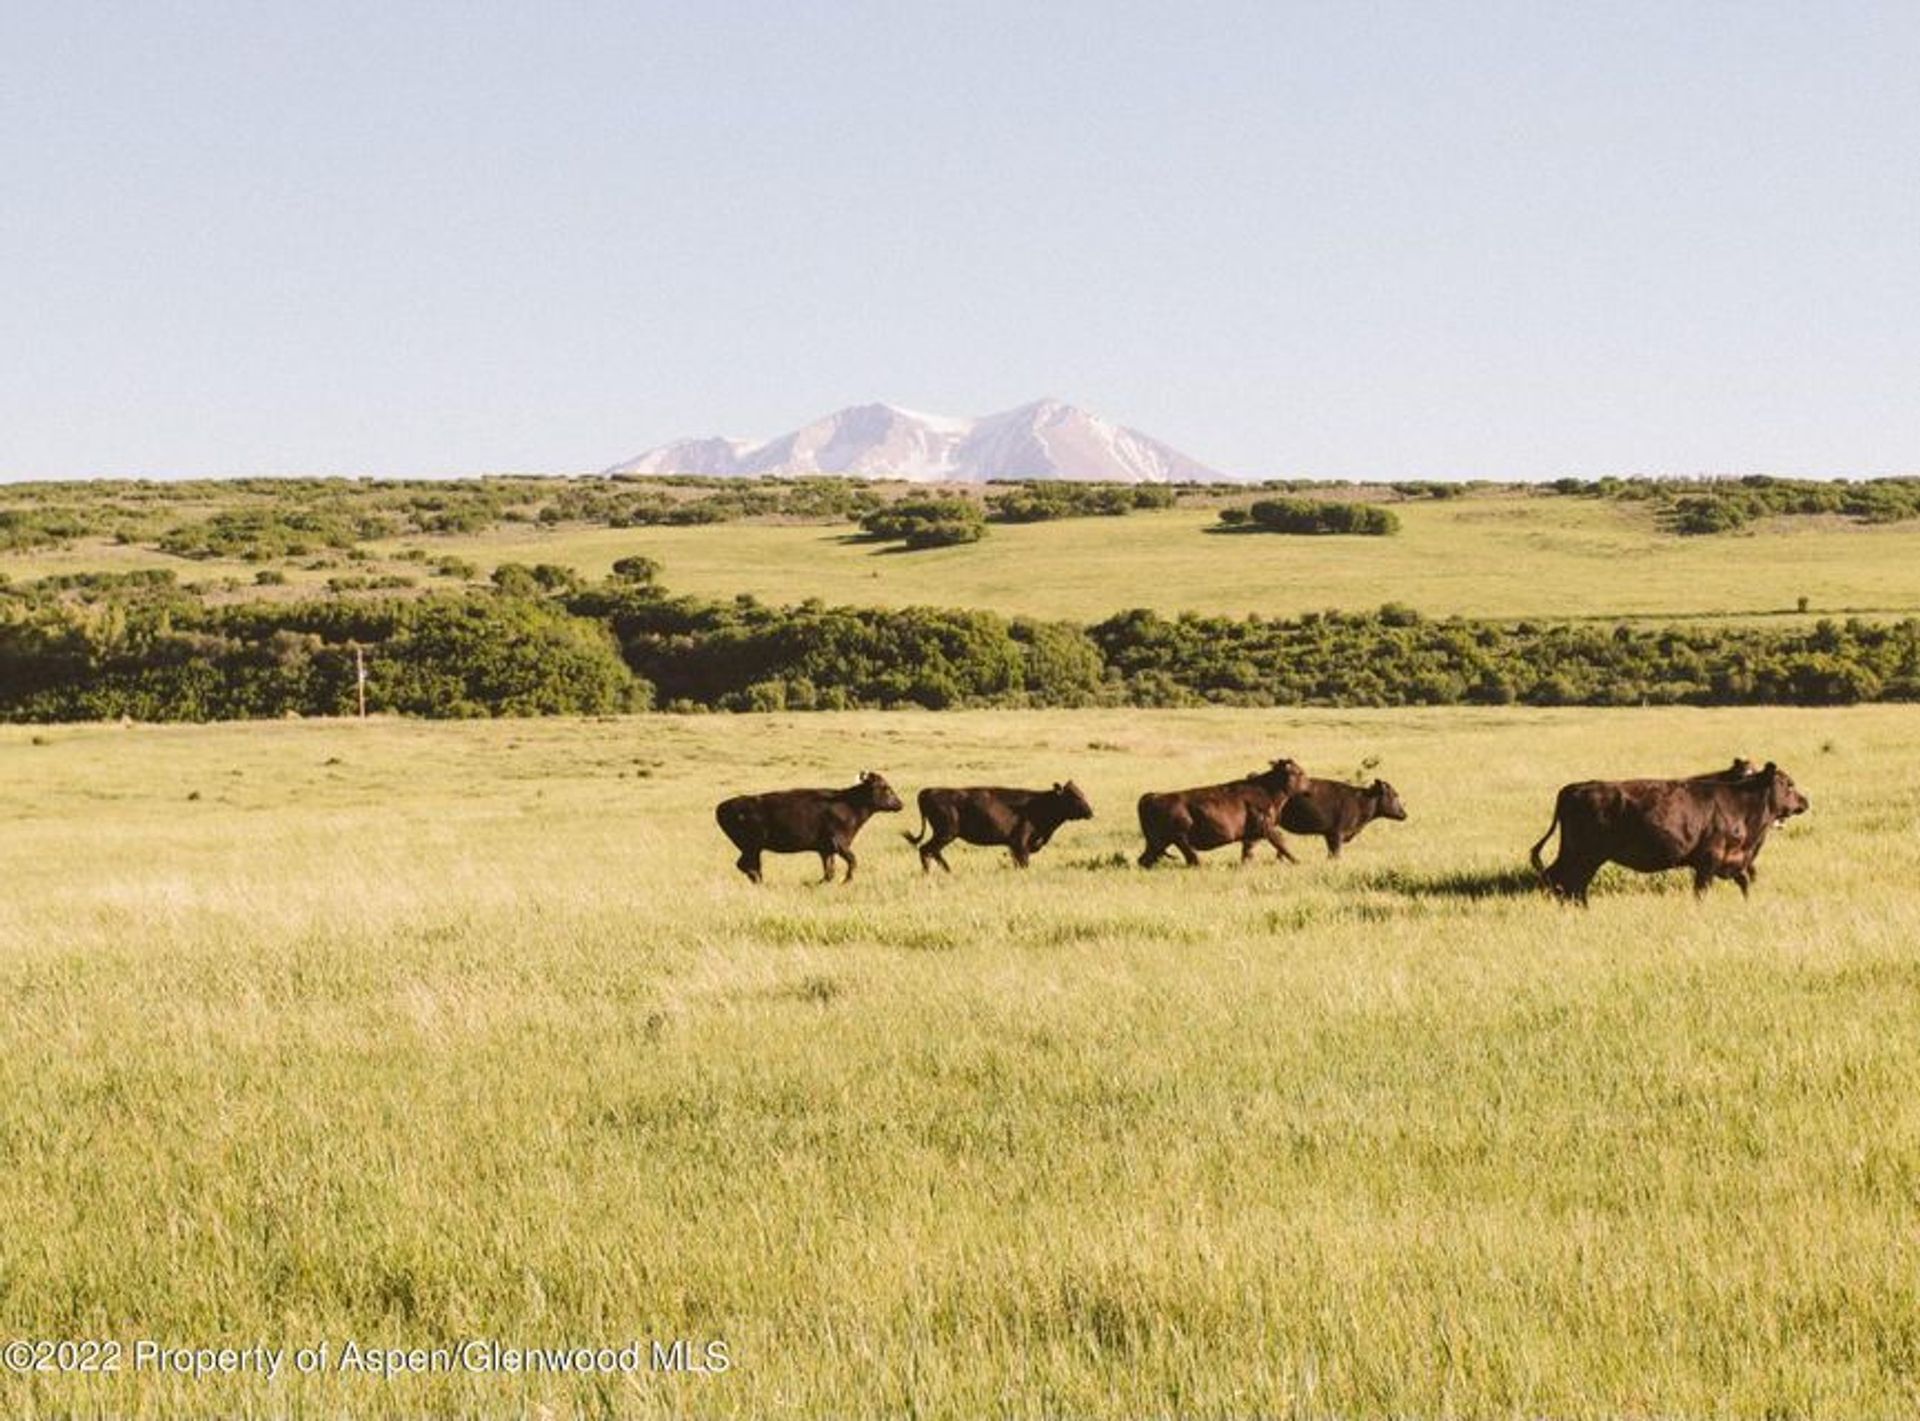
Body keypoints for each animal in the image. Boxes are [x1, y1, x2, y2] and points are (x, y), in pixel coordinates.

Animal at [718, 771, 902, 883]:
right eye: (886, 788)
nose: (900, 804)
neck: (849, 804)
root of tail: (723, 806)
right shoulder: (839, 844)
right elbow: (852, 861)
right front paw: (845, 881)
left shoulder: (826, 850)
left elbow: (829, 872)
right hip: (752, 847)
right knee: (748, 866)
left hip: (752, 849)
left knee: (749, 866)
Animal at [902, 783, 1098, 871]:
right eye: (1073, 796)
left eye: (1082, 793)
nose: (1090, 812)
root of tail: (929, 790)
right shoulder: (1020, 843)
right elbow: (1023, 863)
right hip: (946, 833)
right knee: (926, 849)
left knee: (931, 851)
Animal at [1128, 756, 1313, 864]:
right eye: (1299, 773)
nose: (1310, 787)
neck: (1269, 790)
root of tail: (1155, 795)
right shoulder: (1266, 827)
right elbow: (1282, 844)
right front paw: (1297, 861)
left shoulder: (1252, 834)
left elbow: (1248, 852)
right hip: (1179, 837)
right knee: (1191, 858)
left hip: (1158, 841)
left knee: (1145, 859)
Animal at [1520, 760, 1804, 906]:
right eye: (1788, 784)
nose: (1805, 801)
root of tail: (1575, 787)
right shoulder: (1708, 862)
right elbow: (1702, 892)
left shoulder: (1733, 862)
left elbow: (1745, 883)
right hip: (1583, 854)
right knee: (1565, 881)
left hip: (1579, 854)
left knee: (1566, 882)